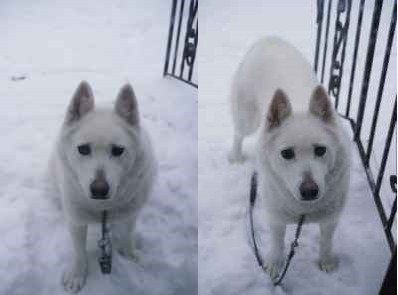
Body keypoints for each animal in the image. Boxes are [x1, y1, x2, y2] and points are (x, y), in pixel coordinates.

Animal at [49, 81, 155, 294]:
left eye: (118, 150)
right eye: (83, 149)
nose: (99, 190)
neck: (102, 210)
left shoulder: (131, 214)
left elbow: (129, 234)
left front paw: (129, 254)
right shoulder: (76, 222)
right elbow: (79, 251)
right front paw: (77, 275)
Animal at [229, 37, 350, 280]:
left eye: (320, 150)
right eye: (287, 154)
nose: (310, 191)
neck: (305, 210)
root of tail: (269, 38)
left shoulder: (331, 219)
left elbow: (326, 241)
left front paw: (326, 261)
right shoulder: (276, 218)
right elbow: (277, 244)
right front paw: (274, 266)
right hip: (247, 118)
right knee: (238, 134)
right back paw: (236, 157)